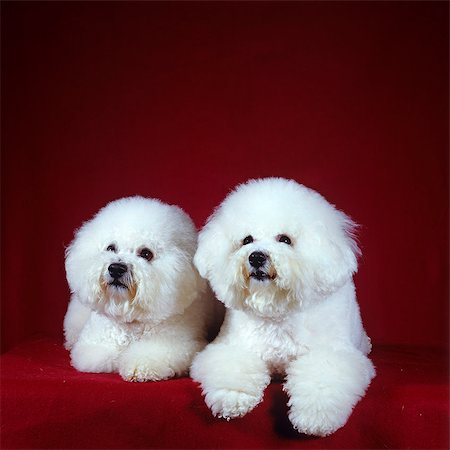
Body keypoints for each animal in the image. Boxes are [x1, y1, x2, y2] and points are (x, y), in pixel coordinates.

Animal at [63, 195, 211, 382]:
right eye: (111, 247)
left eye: (146, 253)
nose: (116, 268)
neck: (133, 321)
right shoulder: (96, 343)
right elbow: (101, 355)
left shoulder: (177, 343)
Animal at [191, 178, 376, 436]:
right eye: (247, 240)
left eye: (285, 239)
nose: (256, 257)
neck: (277, 312)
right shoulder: (234, 347)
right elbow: (233, 368)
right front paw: (232, 397)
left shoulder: (332, 355)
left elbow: (322, 379)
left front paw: (314, 415)